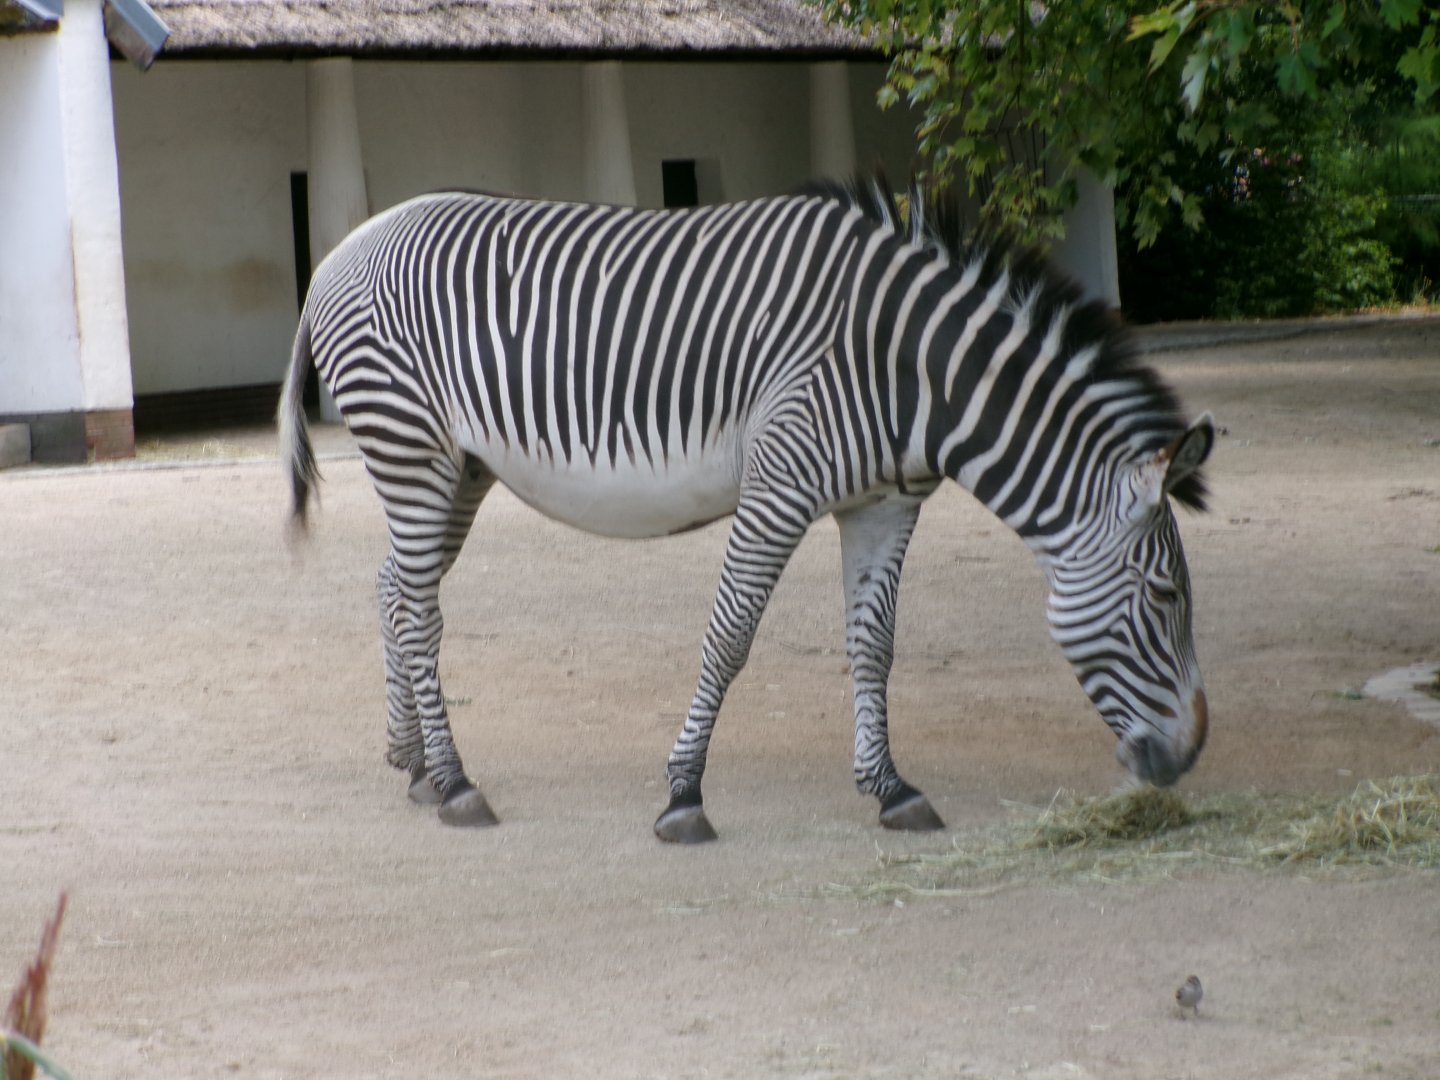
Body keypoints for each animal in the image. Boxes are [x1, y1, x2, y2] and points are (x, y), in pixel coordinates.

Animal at [278, 177, 1214, 843]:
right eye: (1167, 596)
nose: (1192, 755)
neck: (912, 369)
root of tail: (339, 250)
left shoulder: (884, 504)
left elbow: (874, 646)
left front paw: (891, 789)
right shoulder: (779, 483)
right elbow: (729, 635)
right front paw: (683, 794)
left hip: (458, 469)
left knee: (395, 590)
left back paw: (412, 764)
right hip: (413, 449)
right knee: (419, 611)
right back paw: (456, 782)